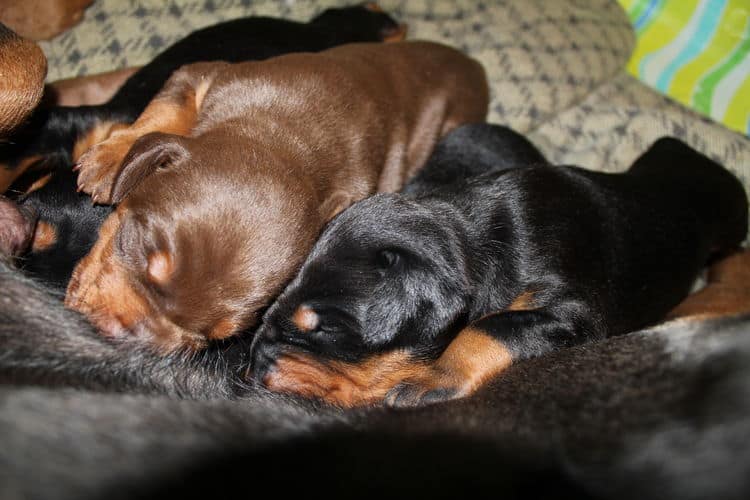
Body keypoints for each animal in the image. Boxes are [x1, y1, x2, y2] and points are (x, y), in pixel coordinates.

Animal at [63, 41, 488, 352]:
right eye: (134, 244)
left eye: (215, 337)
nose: (118, 337)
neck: (282, 138)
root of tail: (476, 67)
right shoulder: (205, 74)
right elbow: (164, 109)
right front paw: (112, 155)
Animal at [250, 135, 748, 408]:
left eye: (325, 329)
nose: (253, 369)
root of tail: (677, 147)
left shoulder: (573, 313)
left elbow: (487, 327)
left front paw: (436, 377)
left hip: (728, 210)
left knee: (734, 251)